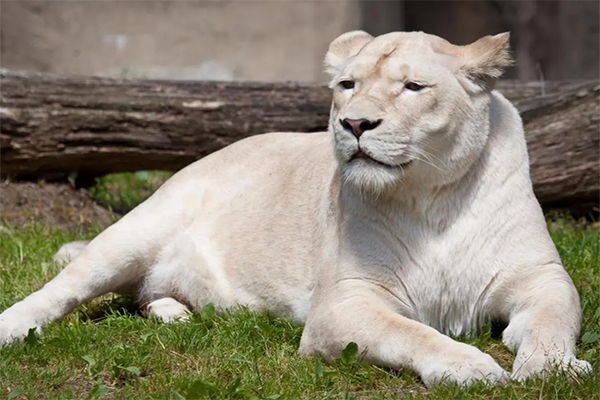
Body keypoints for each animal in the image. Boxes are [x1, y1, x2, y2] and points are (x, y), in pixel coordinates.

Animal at [0, 29, 592, 386]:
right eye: (347, 84)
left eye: (412, 86)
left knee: (145, 294)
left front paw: (554, 368)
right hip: (136, 230)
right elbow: (414, 333)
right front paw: (473, 366)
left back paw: (179, 313)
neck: (433, 198)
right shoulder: (345, 303)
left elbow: (555, 317)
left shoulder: (541, 275)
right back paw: (14, 328)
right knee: (61, 289)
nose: (354, 123)